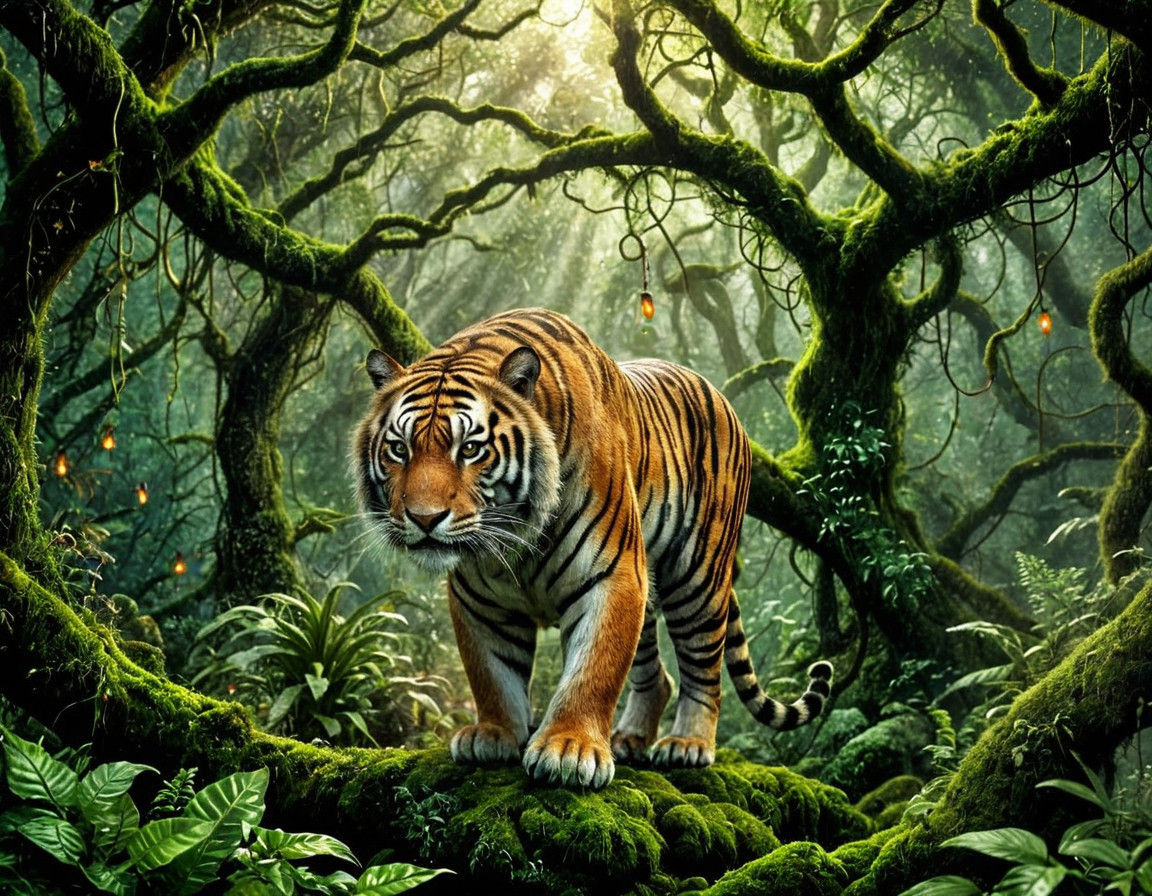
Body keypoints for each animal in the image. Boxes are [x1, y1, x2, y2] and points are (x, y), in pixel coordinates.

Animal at [354, 308, 832, 788]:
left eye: (470, 449)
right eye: (399, 449)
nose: (424, 518)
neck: (517, 538)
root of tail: (716, 391)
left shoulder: (613, 576)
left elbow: (592, 670)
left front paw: (569, 748)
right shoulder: (478, 600)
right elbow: (492, 672)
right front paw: (493, 734)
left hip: (697, 577)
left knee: (703, 667)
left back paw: (688, 745)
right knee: (655, 674)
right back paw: (629, 738)